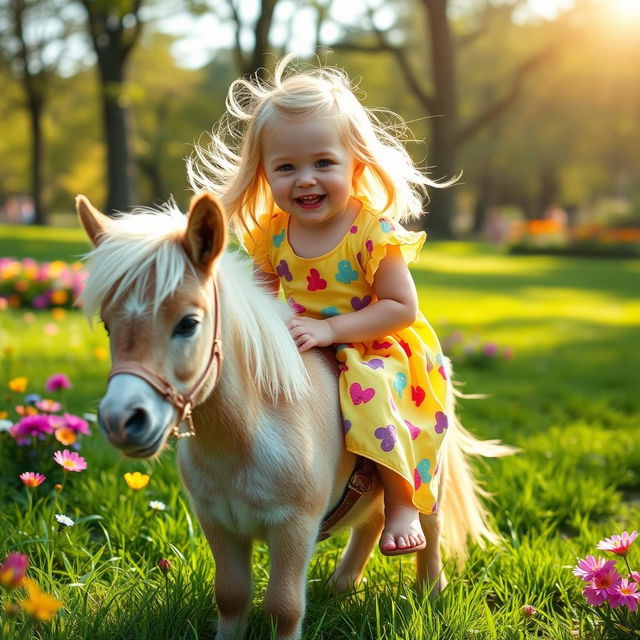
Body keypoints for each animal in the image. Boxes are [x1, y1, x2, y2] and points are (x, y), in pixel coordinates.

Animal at [77, 191, 512, 640]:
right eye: (108, 325)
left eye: (188, 323)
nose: (122, 421)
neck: (246, 438)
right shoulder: (218, 524)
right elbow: (230, 596)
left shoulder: (294, 528)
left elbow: (284, 608)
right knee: (371, 522)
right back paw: (340, 587)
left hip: (430, 477)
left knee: (427, 523)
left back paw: (429, 594)